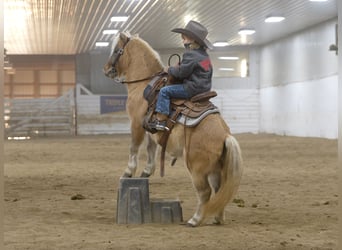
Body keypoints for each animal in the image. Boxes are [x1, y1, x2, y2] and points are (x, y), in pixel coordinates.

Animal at [103, 31, 242, 227]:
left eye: (117, 50)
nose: (106, 69)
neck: (145, 83)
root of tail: (226, 135)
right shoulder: (149, 127)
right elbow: (150, 148)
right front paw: (146, 171)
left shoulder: (136, 123)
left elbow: (134, 147)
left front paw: (129, 172)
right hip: (214, 168)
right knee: (218, 190)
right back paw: (217, 218)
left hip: (197, 168)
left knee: (205, 192)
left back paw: (195, 219)